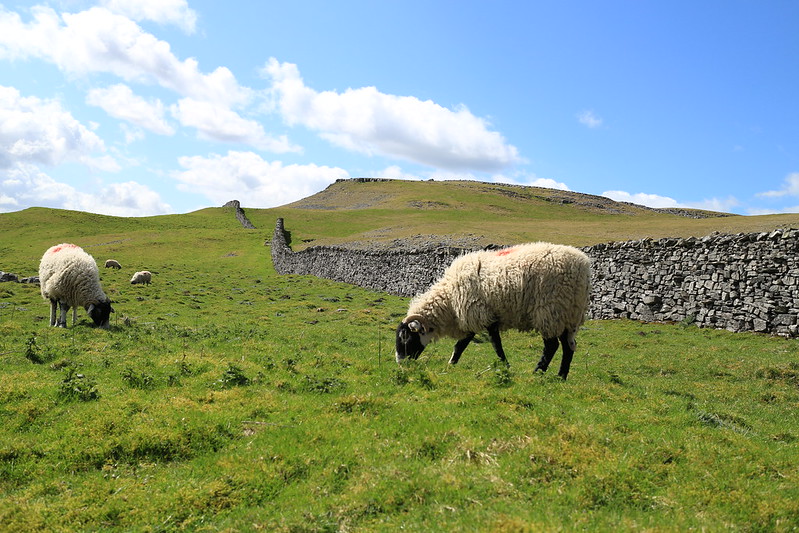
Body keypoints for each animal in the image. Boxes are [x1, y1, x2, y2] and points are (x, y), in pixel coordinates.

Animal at [396, 241, 592, 378]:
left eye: (405, 336)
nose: (400, 362)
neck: (449, 300)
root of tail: (583, 266)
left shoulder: (479, 313)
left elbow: (493, 344)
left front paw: (505, 366)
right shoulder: (473, 316)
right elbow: (462, 345)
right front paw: (451, 363)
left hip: (549, 310)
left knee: (552, 346)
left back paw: (537, 372)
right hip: (569, 315)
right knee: (568, 347)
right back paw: (561, 376)